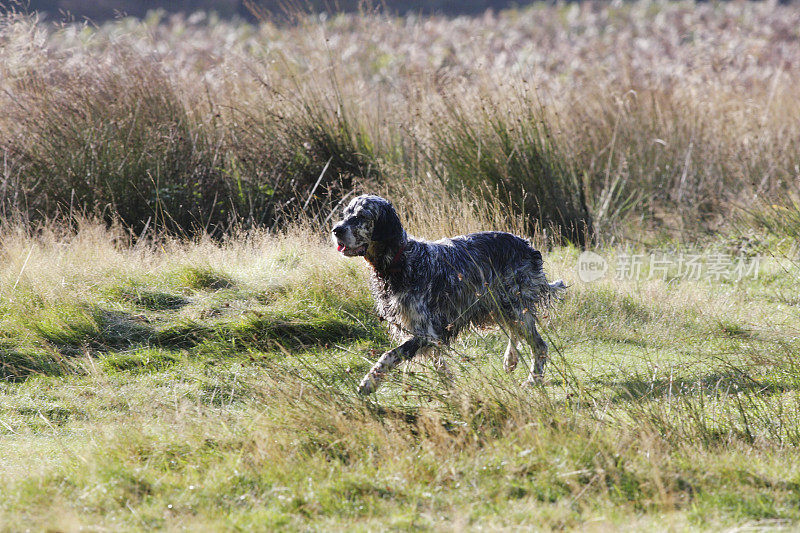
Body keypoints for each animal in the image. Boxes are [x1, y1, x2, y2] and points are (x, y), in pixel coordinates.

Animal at [330, 195, 564, 394]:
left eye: (361, 216)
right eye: (346, 214)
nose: (336, 230)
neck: (400, 262)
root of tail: (527, 246)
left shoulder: (427, 333)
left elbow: (390, 354)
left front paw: (369, 382)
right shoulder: (427, 334)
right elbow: (440, 366)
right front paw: (450, 390)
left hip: (514, 305)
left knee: (539, 346)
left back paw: (533, 380)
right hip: (499, 306)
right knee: (514, 332)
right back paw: (510, 360)